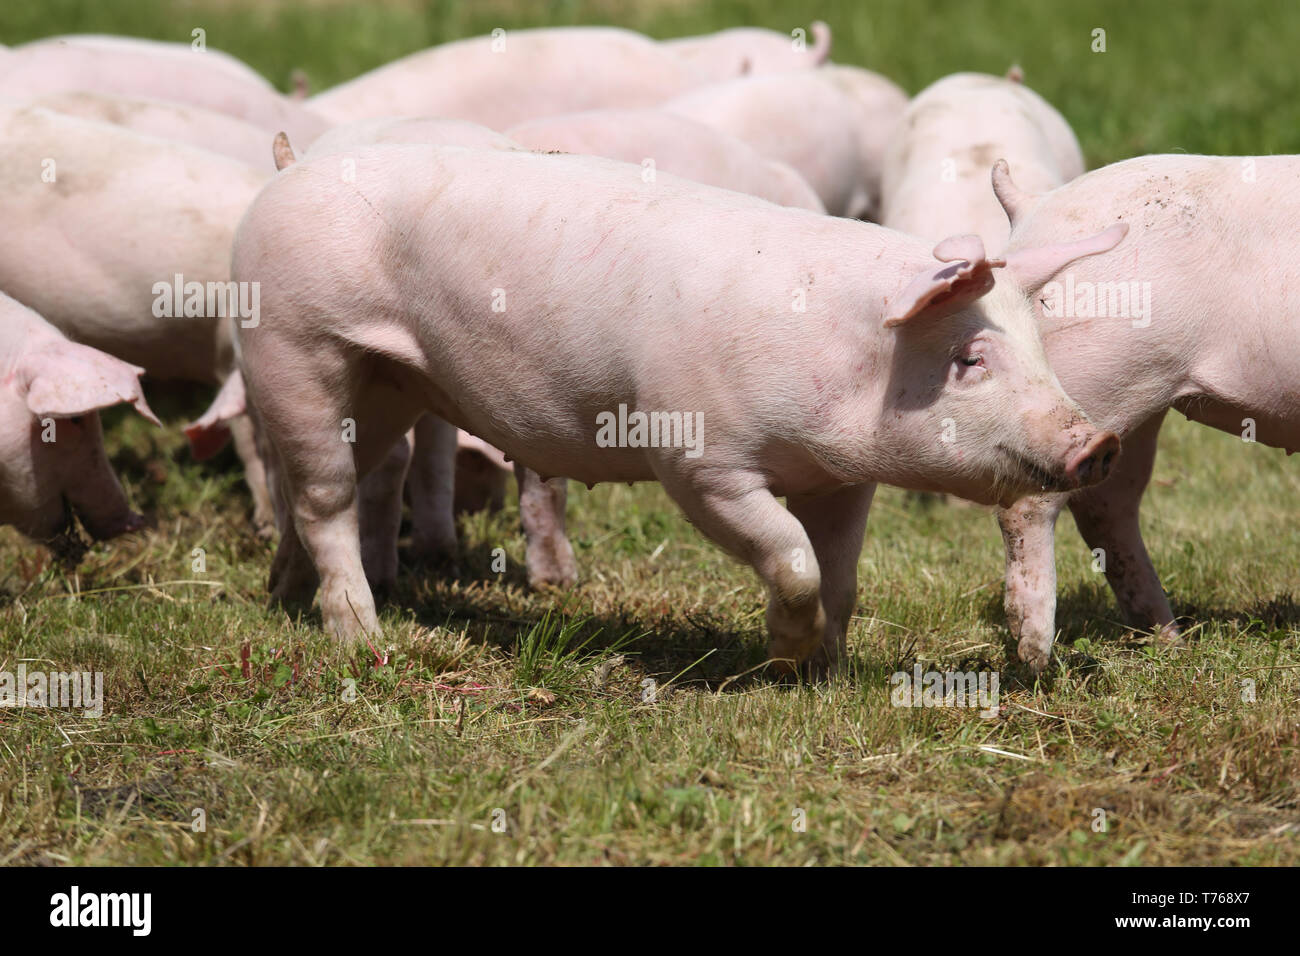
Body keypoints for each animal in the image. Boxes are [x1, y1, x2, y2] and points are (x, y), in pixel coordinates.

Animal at [228, 141, 1123, 671]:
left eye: (1039, 347)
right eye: (969, 361)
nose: (1098, 445)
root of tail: (290, 165)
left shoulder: (843, 476)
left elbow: (841, 574)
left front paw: (828, 668)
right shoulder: (698, 457)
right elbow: (792, 555)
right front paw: (785, 656)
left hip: (392, 381)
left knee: (328, 485)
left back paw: (283, 596)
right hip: (296, 345)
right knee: (324, 492)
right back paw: (359, 638)